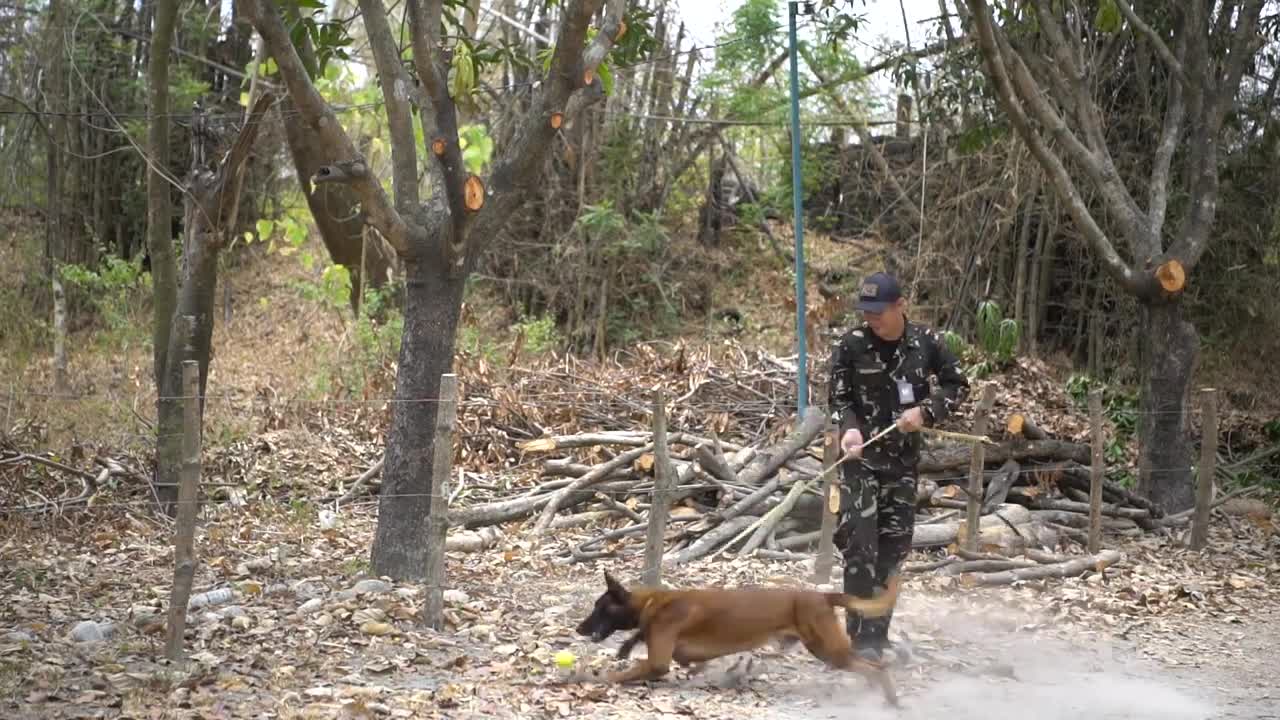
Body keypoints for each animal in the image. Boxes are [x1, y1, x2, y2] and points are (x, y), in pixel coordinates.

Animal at [576, 568, 906, 702]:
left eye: (599, 608)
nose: (579, 629)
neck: (650, 603)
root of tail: (823, 596)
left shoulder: (659, 661)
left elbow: (620, 674)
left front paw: (594, 679)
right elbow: (641, 638)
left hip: (827, 649)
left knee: (876, 666)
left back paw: (890, 700)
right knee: (869, 667)